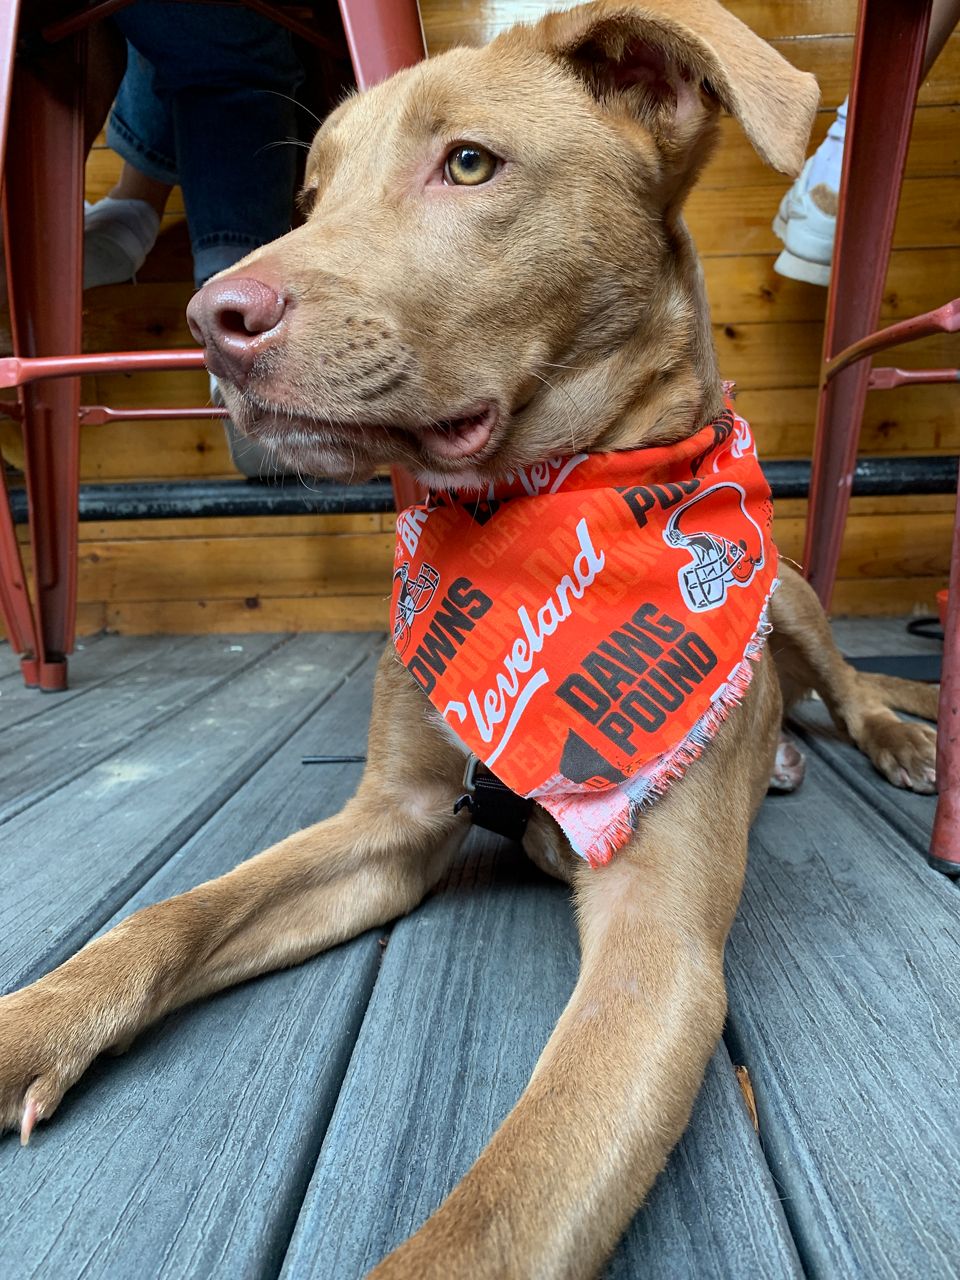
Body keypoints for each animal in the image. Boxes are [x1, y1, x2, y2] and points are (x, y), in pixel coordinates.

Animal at [0, 5, 942, 1274]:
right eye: (311, 193)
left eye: (469, 164)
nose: (212, 326)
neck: (531, 517)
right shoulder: (390, 824)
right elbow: (173, 913)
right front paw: (29, 1026)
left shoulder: (657, 952)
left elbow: (499, 1209)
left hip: (788, 588)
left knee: (849, 685)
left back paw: (897, 740)